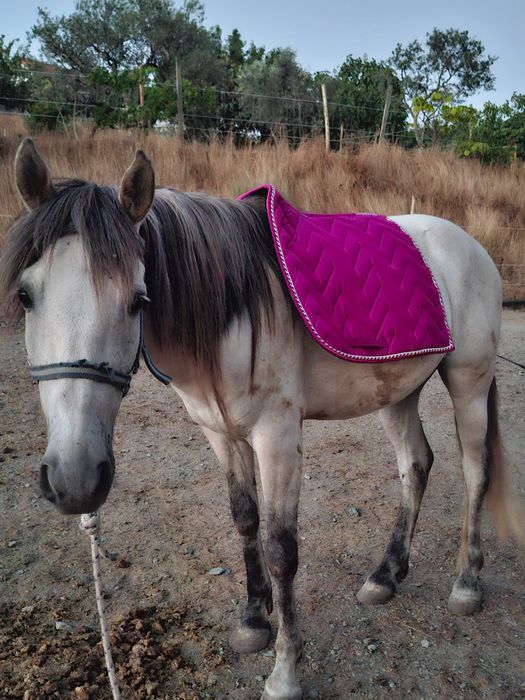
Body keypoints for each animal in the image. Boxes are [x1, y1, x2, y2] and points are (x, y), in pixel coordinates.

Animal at [0, 138, 522, 700]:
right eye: (26, 296)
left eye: (138, 299)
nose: (75, 480)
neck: (233, 306)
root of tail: (471, 246)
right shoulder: (221, 433)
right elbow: (245, 520)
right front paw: (254, 621)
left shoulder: (276, 435)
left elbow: (280, 549)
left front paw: (285, 670)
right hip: (398, 391)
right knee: (416, 465)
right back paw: (386, 575)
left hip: (469, 382)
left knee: (474, 471)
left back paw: (466, 583)